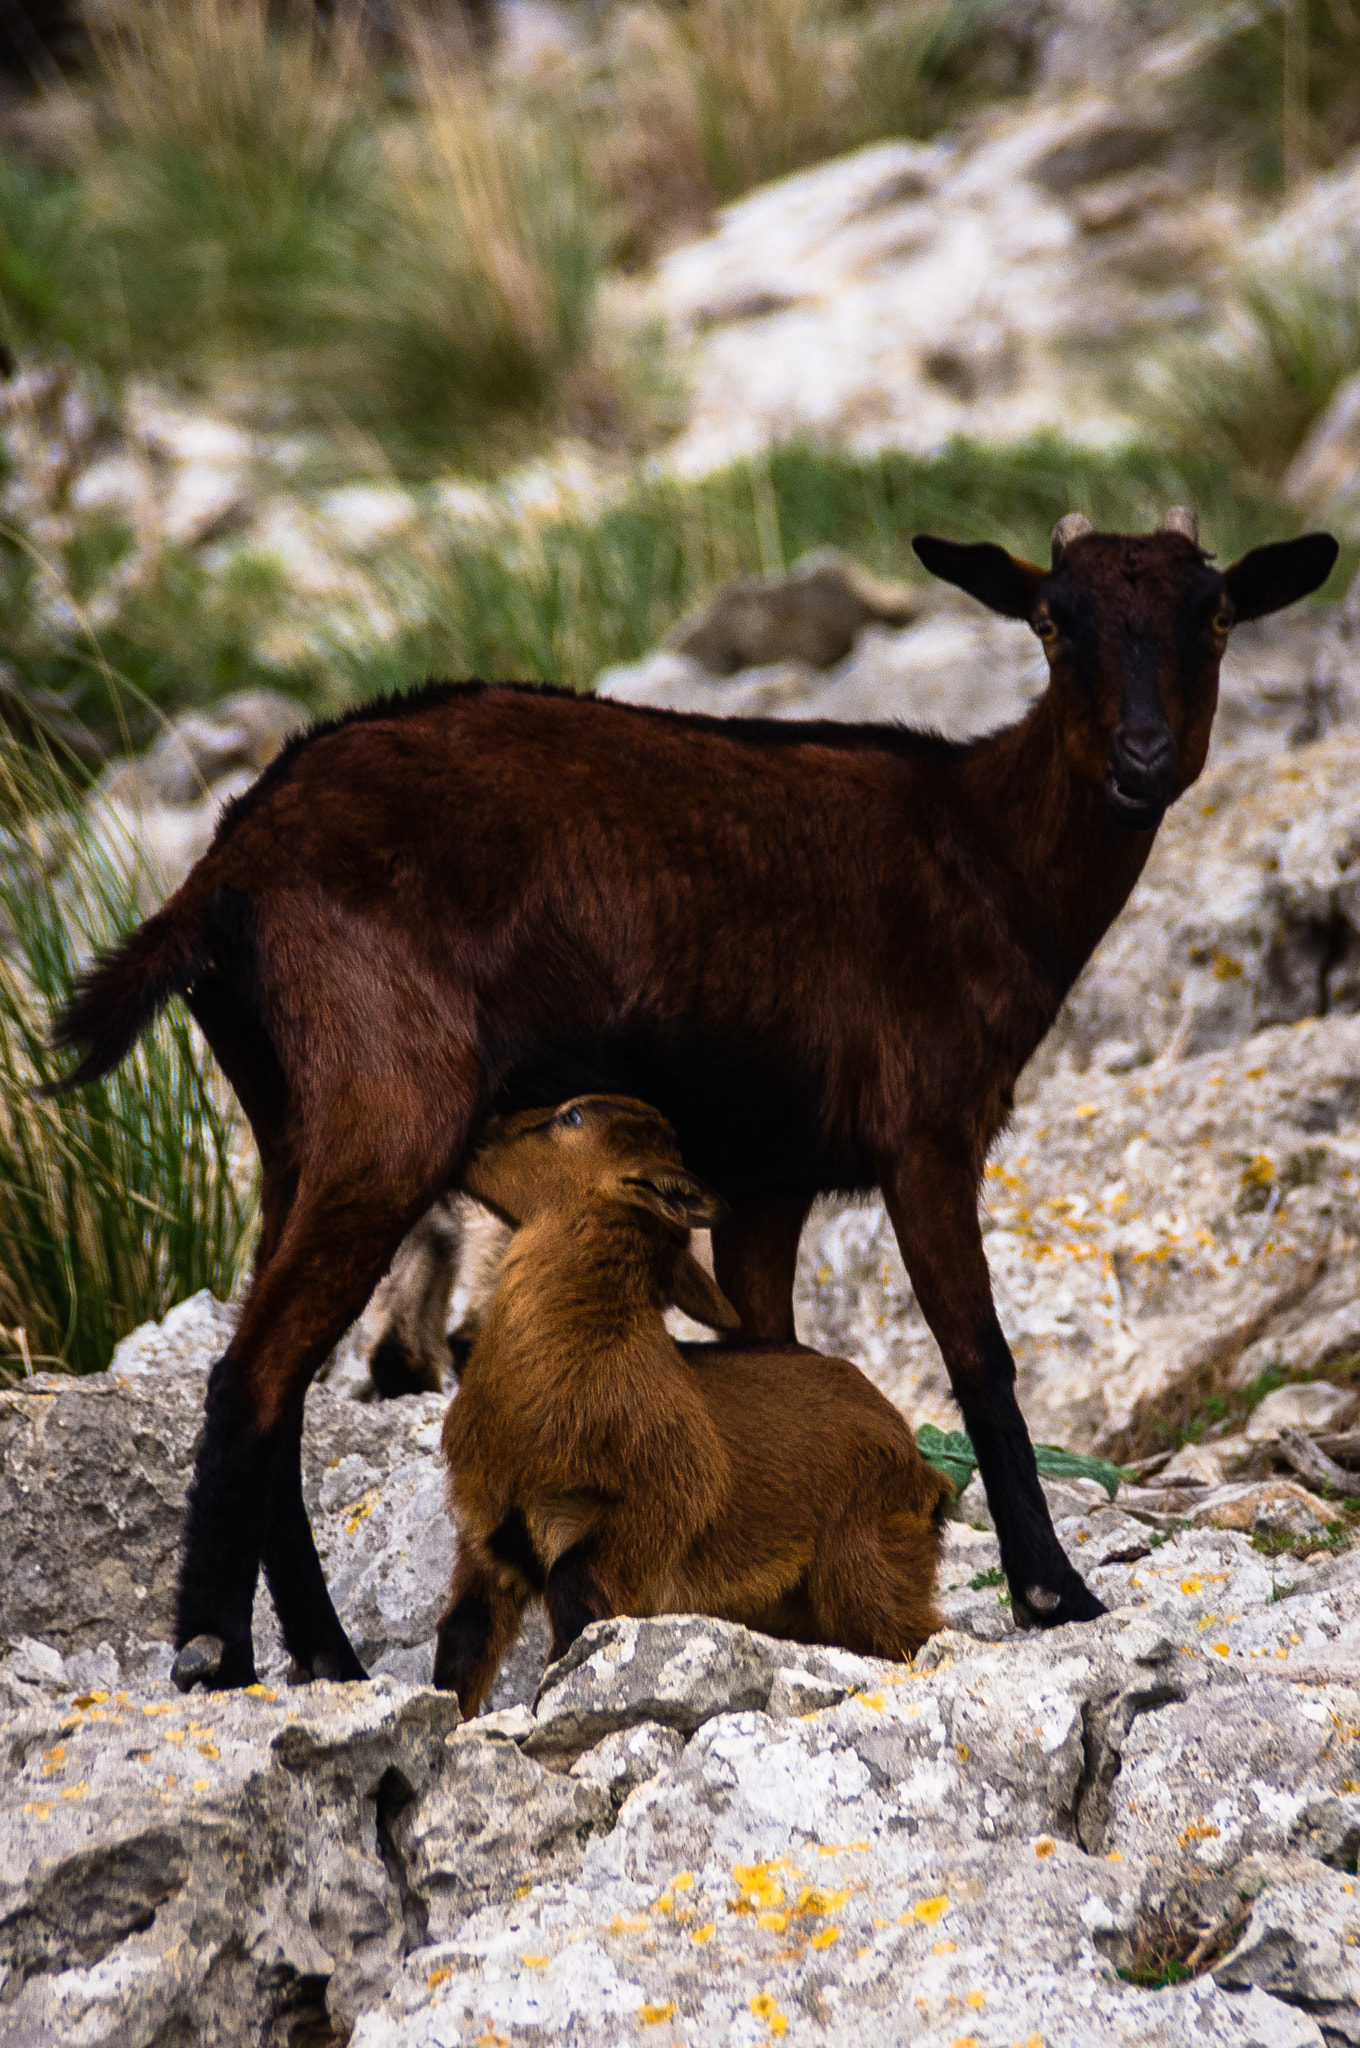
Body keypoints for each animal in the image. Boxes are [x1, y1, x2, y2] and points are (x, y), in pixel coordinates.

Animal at [436, 1095, 950, 1714]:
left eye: (573, 1117)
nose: (473, 1133)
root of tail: (923, 1471)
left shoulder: (660, 1501)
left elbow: (574, 1593)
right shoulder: (485, 1540)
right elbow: (462, 1644)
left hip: (867, 1570)